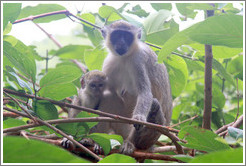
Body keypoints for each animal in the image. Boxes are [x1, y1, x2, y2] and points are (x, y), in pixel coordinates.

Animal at [91, 20, 173, 154]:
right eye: (117, 35)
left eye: (127, 36)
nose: (121, 43)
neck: (124, 58)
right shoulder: (109, 63)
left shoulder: (138, 60)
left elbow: (145, 93)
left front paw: (138, 118)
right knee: (109, 96)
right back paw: (96, 142)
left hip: (149, 135)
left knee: (154, 104)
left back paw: (130, 143)